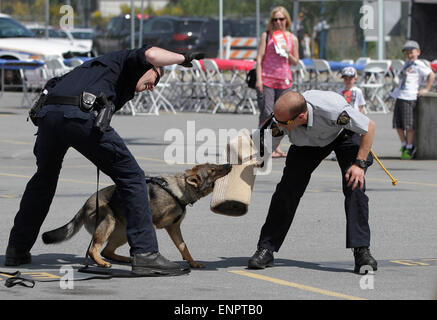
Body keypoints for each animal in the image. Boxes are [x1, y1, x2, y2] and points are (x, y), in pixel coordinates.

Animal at [41, 164, 232, 268]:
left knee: (106, 250)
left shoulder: (174, 228)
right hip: (108, 223)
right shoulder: (153, 225)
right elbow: (155, 245)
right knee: (94, 249)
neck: (179, 190)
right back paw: (102, 263)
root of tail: (85, 204)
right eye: (213, 170)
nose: (230, 164)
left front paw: (192, 263)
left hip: (123, 232)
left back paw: (124, 258)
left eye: (214, 165)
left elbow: (184, 247)